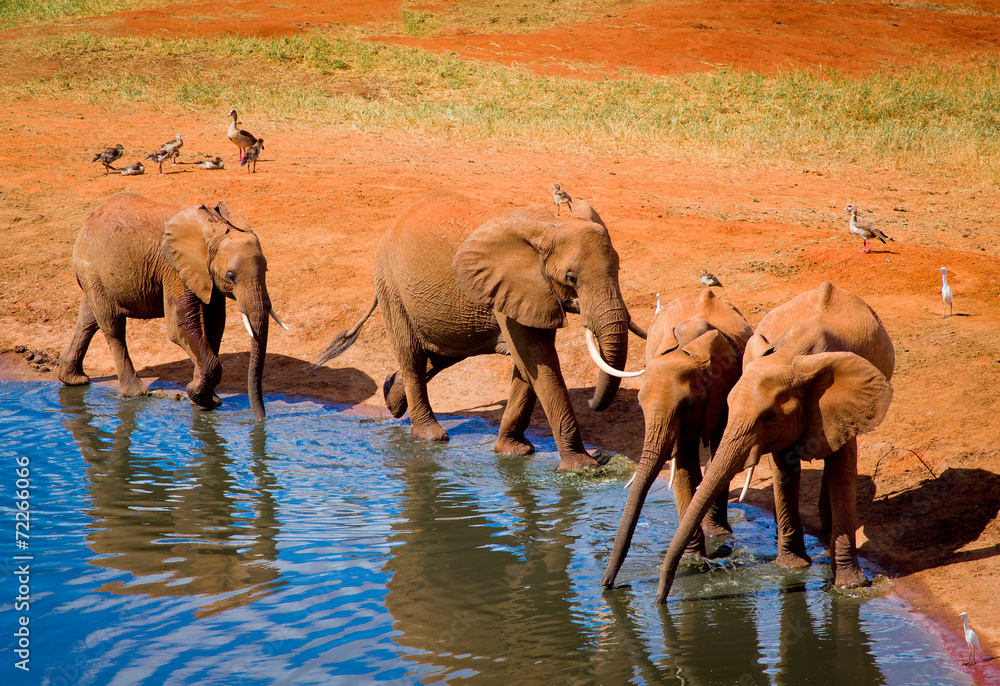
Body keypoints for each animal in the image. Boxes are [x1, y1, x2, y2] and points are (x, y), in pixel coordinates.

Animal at [58, 191, 286, 421]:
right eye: (231, 276)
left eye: (266, 270)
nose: (261, 420)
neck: (213, 228)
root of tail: (91, 217)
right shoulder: (174, 267)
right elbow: (180, 326)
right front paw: (196, 394)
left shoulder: (206, 274)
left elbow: (214, 326)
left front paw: (204, 399)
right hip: (92, 267)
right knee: (113, 326)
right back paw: (136, 394)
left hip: (96, 275)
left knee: (89, 317)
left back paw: (73, 380)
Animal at [316, 190, 646, 471]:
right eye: (571, 278)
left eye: (618, 269)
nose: (592, 403)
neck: (547, 226)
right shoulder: (515, 285)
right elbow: (540, 362)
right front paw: (583, 468)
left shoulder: (530, 293)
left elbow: (529, 366)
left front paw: (513, 452)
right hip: (390, 284)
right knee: (412, 355)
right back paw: (430, 437)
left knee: (440, 354)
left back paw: (390, 396)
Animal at [596, 289, 753, 590]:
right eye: (639, 403)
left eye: (688, 406)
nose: (606, 584)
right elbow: (683, 468)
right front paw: (693, 559)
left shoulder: (726, 387)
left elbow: (719, 451)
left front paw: (716, 540)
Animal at [653, 282, 894, 603]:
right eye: (729, 404)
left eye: (768, 416)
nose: (659, 601)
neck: (791, 358)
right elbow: (784, 470)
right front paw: (792, 568)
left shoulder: (843, 404)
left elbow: (842, 471)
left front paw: (850, 587)